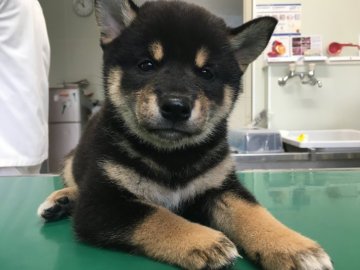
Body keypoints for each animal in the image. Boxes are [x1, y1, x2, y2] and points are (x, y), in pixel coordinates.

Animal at [38, 1, 334, 268]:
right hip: (72, 162)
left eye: (206, 73)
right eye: (146, 65)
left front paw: (293, 246)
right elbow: (158, 216)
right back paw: (61, 199)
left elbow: (254, 213)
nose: (176, 107)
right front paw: (205, 241)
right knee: (78, 184)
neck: (172, 157)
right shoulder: (101, 203)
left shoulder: (220, 186)